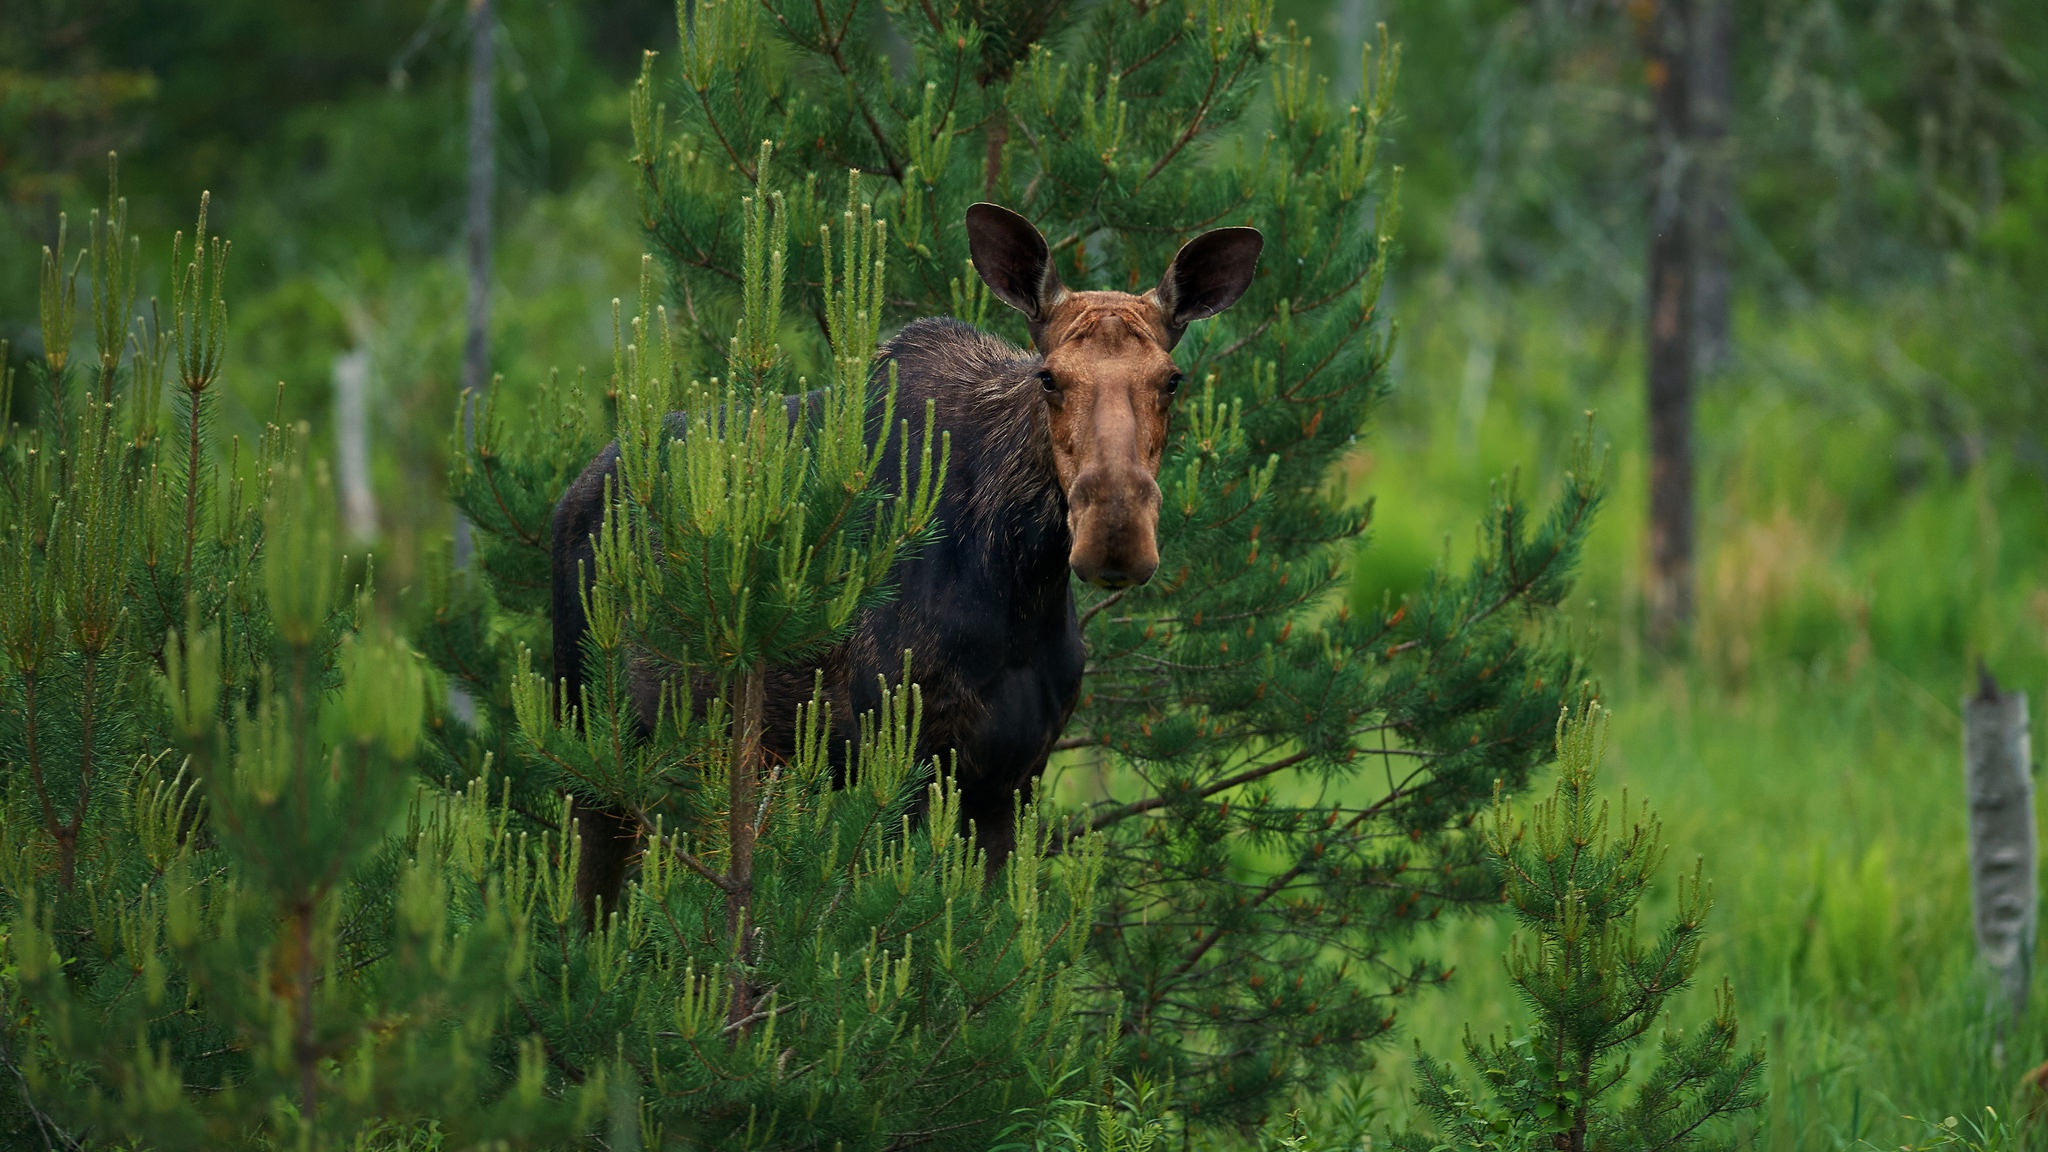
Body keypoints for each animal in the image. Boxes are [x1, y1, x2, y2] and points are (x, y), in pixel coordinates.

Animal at [561, 203, 1261, 906]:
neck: (1021, 583)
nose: (1116, 533)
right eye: (1049, 377)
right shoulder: (898, 760)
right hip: (599, 750)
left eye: (1172, 379)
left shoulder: (1014, 776)